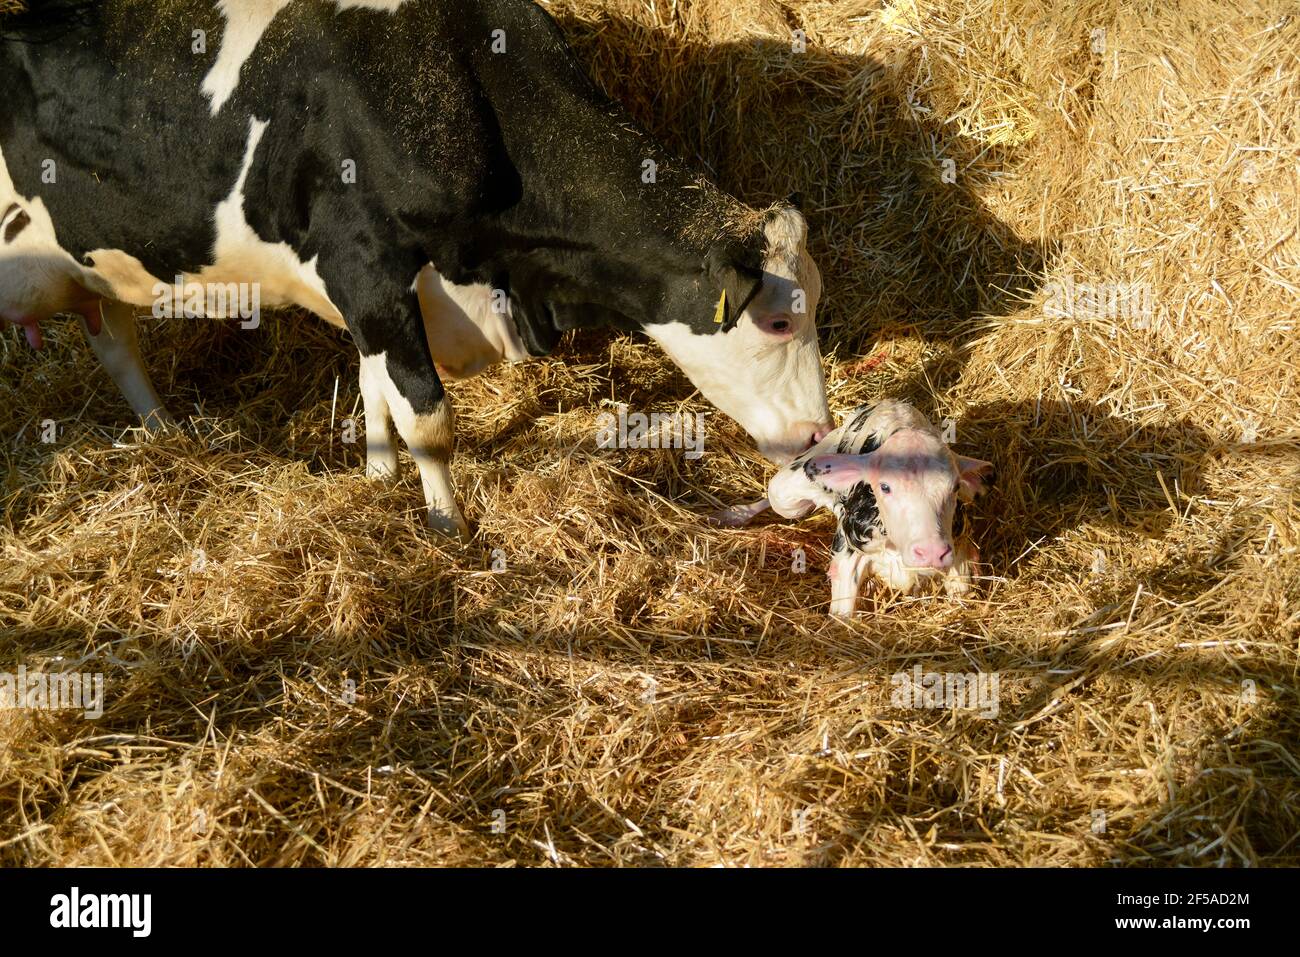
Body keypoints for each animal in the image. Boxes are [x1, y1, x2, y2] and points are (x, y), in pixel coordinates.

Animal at [0, 0, 833, 538]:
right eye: (777, 320)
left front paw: (379, 476)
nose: (817, 432)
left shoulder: (381, 294)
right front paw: (447, 522)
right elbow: (427, 412)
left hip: (87, 265)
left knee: (114, 342)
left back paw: (165, 432)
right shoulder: (365, 265)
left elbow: (377, 385)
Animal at [760, 400, 993, 616]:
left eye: (955, 487)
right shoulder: (846, 552)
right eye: (885, 487)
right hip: (785, 495)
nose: (931, 552)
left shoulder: (959, 549)